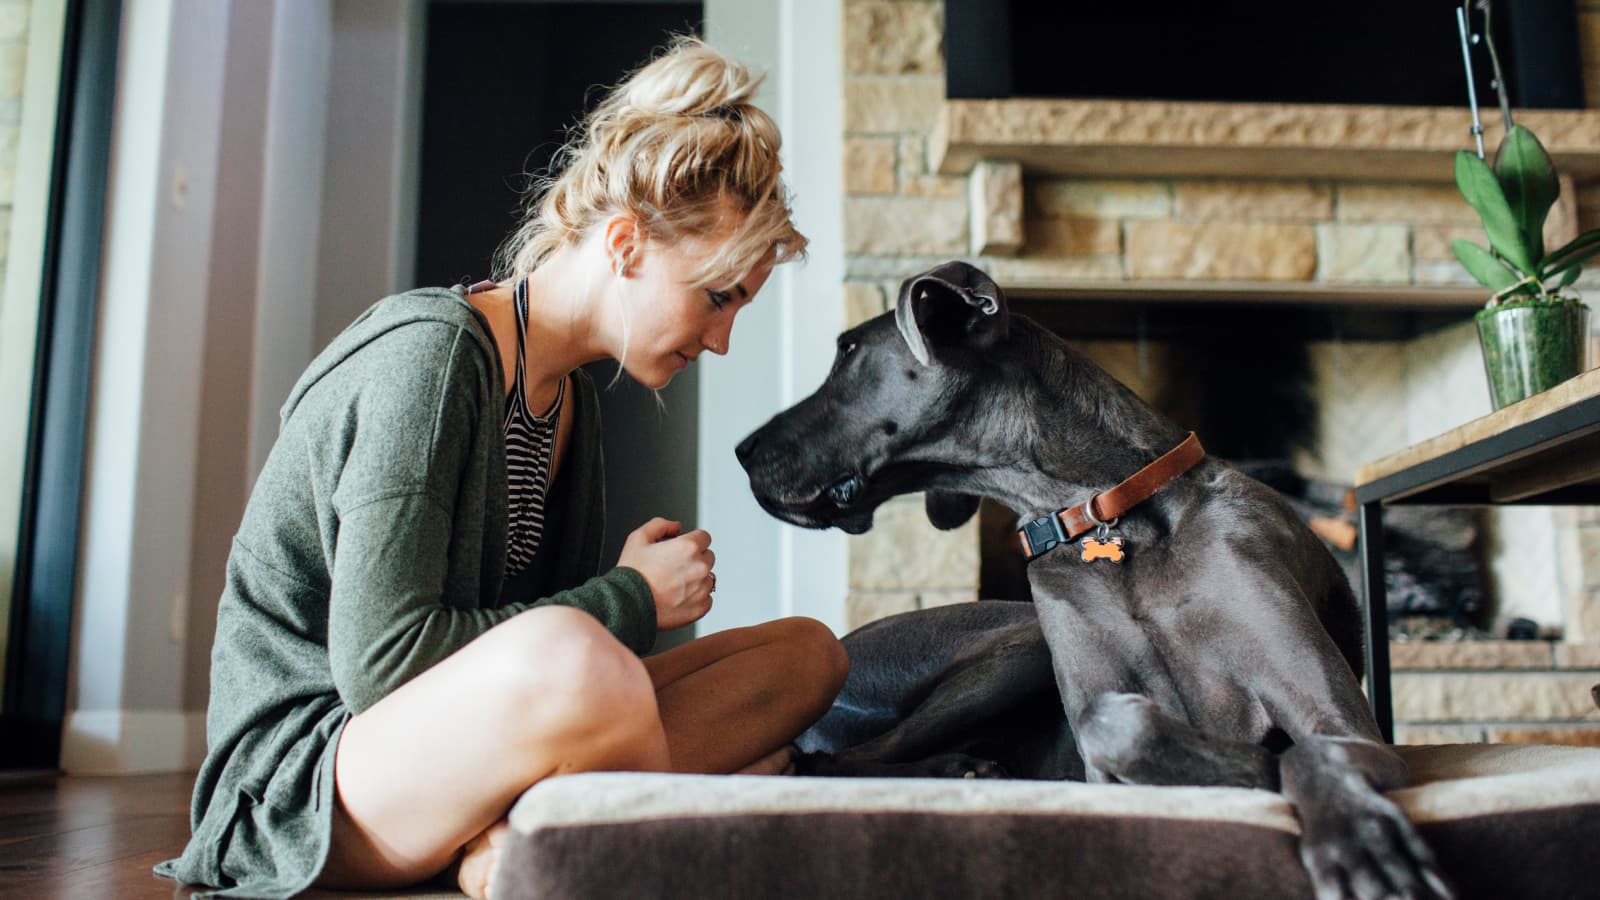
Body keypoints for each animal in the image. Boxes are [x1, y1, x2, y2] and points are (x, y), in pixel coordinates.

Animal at [736, 261, 1452, 896]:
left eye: (848, 353)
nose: (740, 450)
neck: (1109, 519)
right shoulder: (1100, 758)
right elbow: (1116, 724)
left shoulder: (1347, 723)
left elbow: (1310, 749)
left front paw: (1356, 837)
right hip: (1016, 646)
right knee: (829, 762)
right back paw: (963, 769)